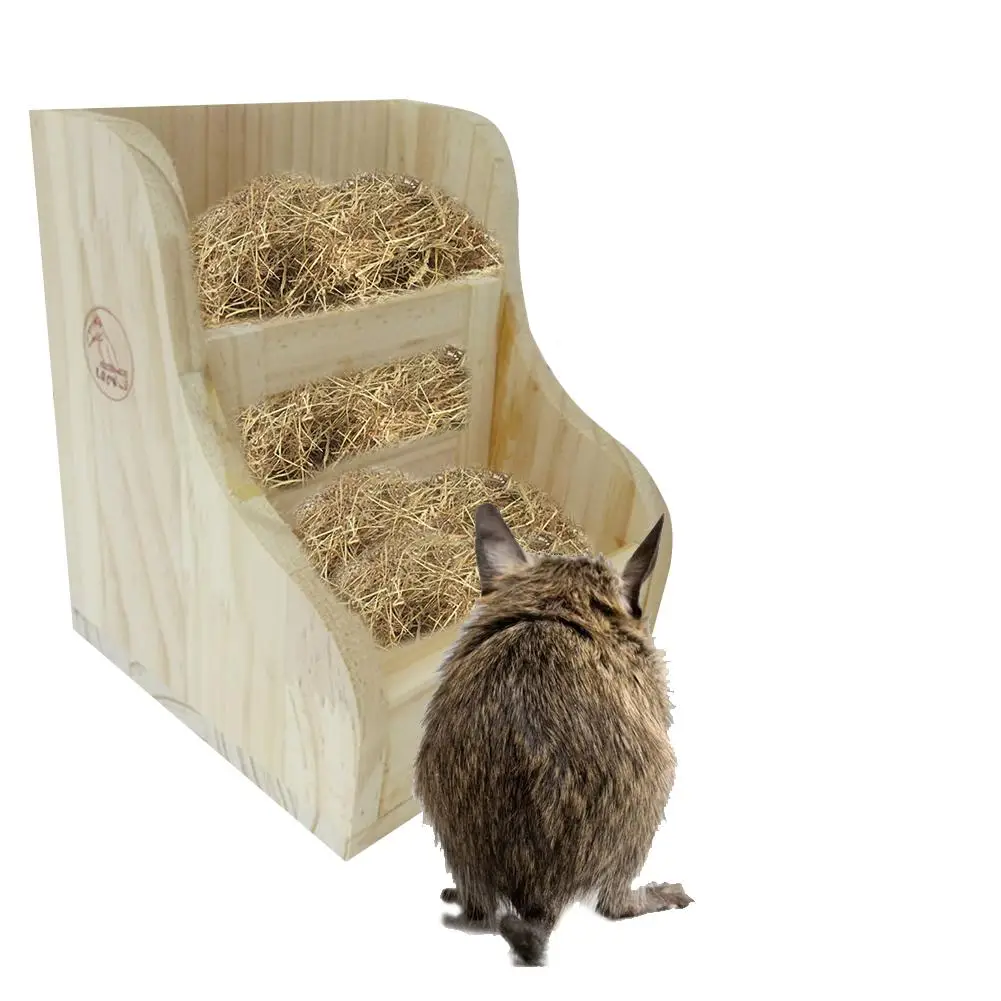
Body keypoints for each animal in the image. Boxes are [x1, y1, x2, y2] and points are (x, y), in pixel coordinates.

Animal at [413, 502, 691, 966]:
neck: (558, 600)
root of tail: (540, 902)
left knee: (479, 915)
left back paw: (456, 900)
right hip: (653, 801)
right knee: (612, 906)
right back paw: (665, 894)